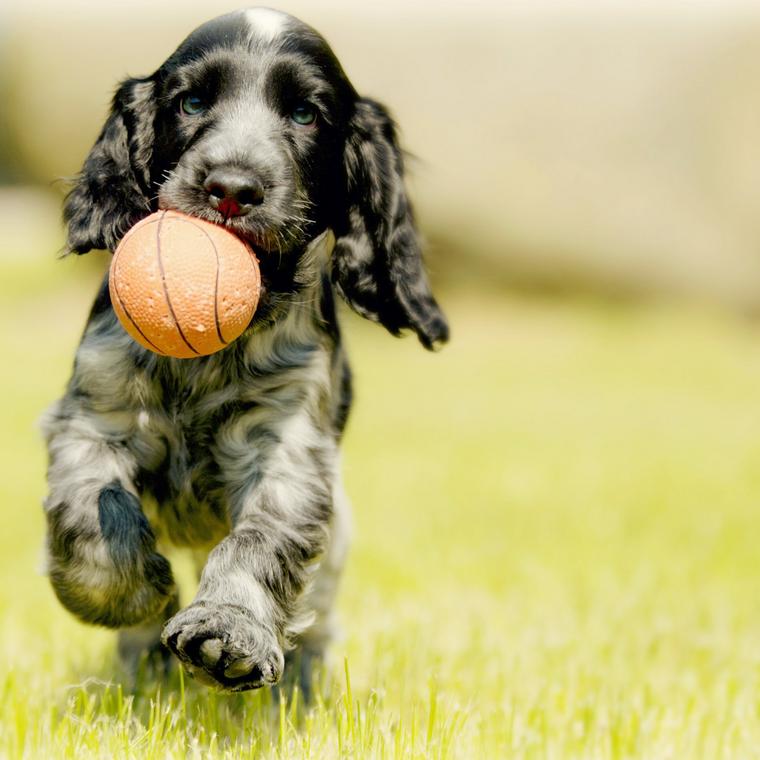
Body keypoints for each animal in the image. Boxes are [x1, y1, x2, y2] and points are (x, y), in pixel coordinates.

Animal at [41, 7, 448, 696]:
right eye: (191, 102)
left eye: (306, 113)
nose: (231, 187)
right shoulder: (95, 414)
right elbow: (93, 506)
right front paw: (129, 595)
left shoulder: (286, 445)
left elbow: (260, 540)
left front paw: (228, 632)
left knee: (319, 611)